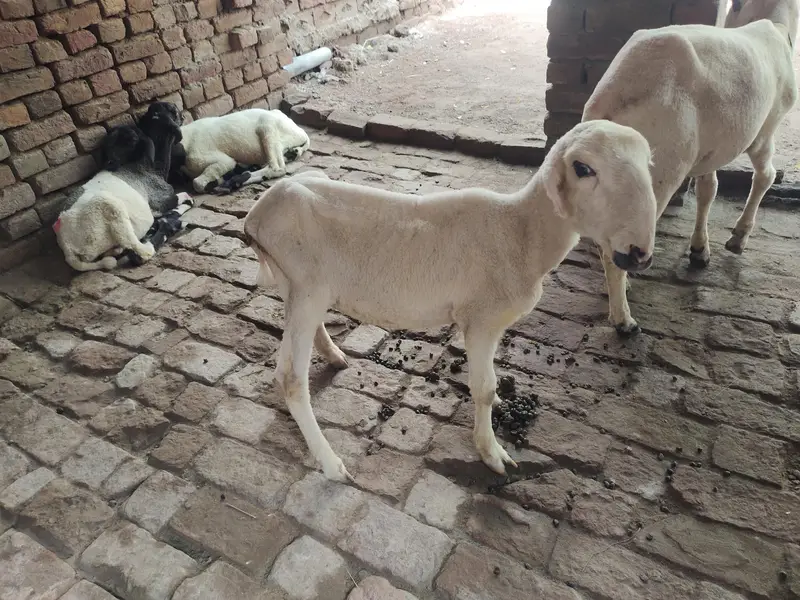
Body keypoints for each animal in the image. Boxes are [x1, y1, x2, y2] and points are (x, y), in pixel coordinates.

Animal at [171, 108, 311, 194]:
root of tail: (301, 131)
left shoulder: (220, 160)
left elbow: (198, 183)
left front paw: (217, 182)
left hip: (267, 128)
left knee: (277, 168)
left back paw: (234, 181)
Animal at [243, 120, 658, 482]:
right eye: (583, 168)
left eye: (648, 163)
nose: (638, 254)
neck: (521, 231)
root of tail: (256, 215)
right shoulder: (481, 320)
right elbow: (484, 388)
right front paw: (491, 452)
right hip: (307, 286)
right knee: (290, 379)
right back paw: (331, 464)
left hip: (296, 287)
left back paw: (334, 357)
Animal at [582, 0, 798, 335]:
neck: (774, 23)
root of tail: (618, 92)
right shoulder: (765, 130)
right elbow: (766, 176)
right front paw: (738, 239)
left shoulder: (708, 150)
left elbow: (709, 190)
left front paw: (699, 251)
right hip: (659, 169)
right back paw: (624, 320)